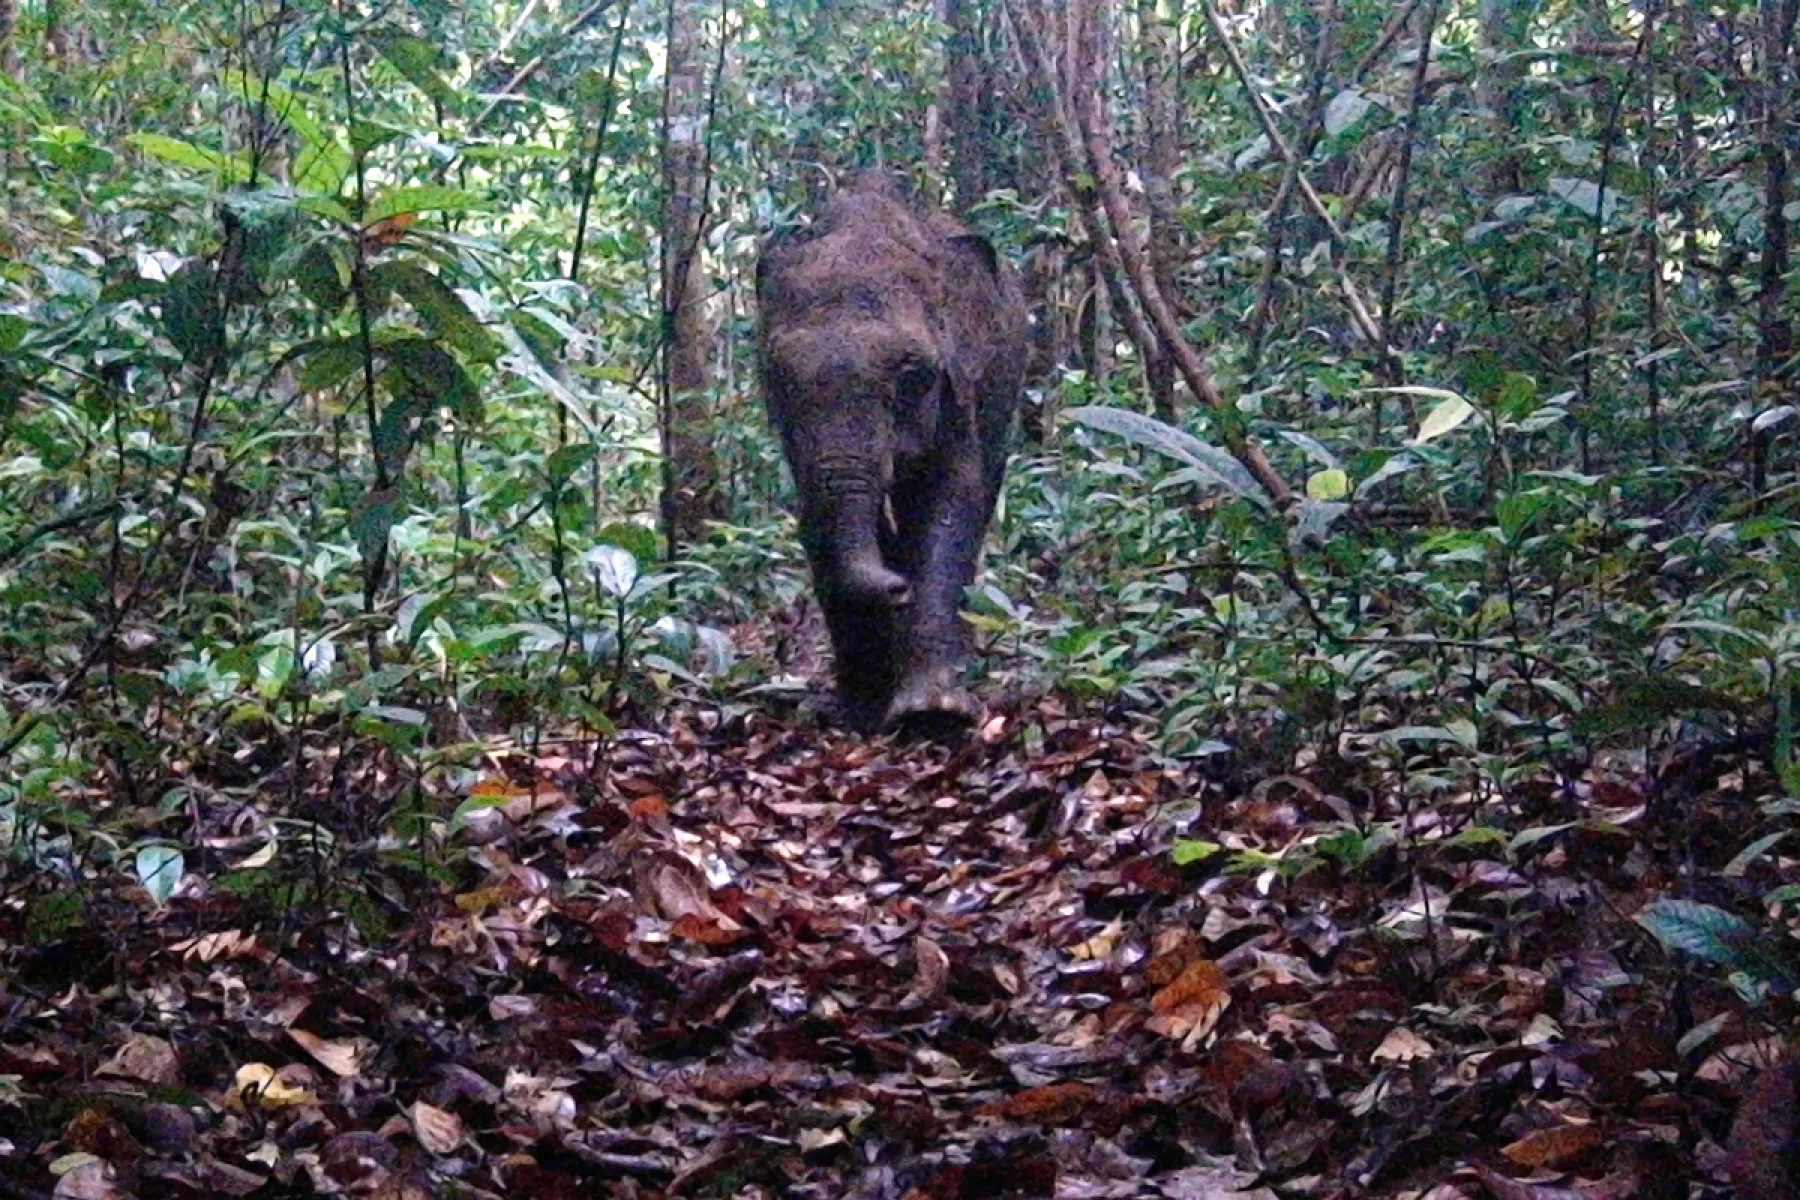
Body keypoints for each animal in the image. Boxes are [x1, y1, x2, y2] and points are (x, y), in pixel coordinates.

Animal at [756, 174, 1027, 733]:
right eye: (778, 375)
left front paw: (933, 712)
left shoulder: (961, 387)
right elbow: (818, 512)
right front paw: (861, 710)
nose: (898, 586)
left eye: (913, 373)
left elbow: (951, 501)